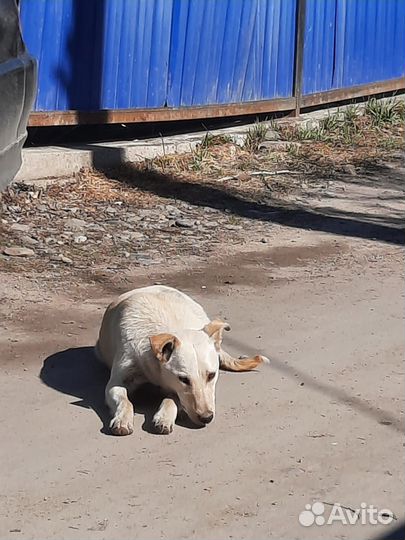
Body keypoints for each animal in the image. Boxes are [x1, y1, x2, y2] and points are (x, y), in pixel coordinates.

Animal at [95, 286, 268, 434]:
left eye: (211, 375)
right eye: (184, 379)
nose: (206, 418)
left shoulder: (175, 391)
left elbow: (171, 399)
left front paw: (164, 416)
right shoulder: (116, 383)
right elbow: (125, 401)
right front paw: (123, 419)